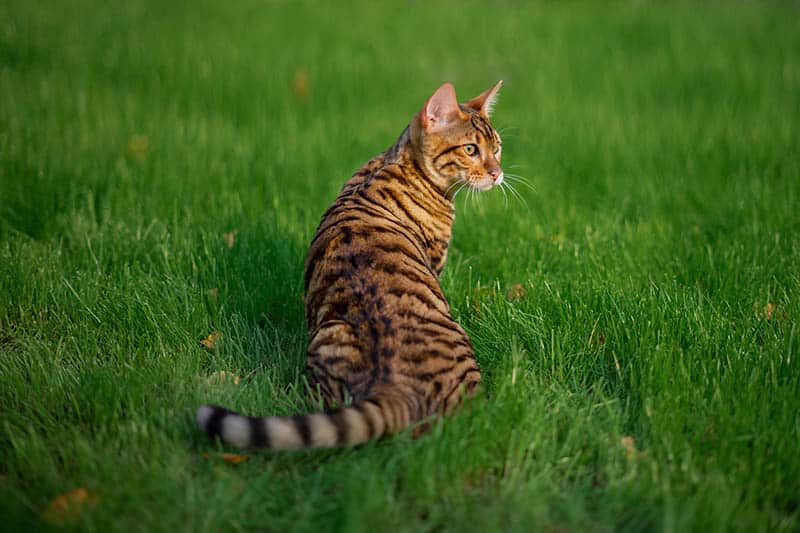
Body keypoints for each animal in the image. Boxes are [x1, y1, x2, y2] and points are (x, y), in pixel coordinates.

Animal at [197, 82, 504, 448]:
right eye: (471, 149)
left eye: (497, 149)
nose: (498, 173)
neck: (394, 164)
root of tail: (394, 384)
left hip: (327, 334)